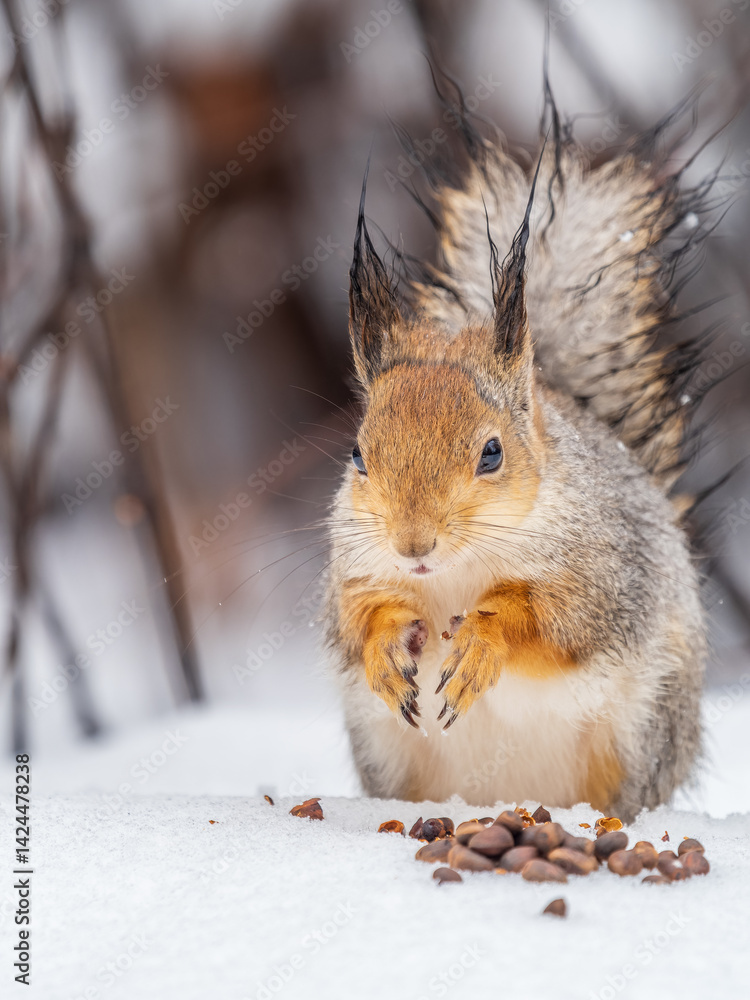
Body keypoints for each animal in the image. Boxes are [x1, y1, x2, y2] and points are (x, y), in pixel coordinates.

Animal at [323, 85, 714, 823]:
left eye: (492, 453)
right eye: (358, 455)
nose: (413, 545)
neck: (453, 575)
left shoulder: (604, 574)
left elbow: (556, 625)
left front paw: (484, 641)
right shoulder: (352, 566)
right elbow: (355, 621)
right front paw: (387, 646)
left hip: (641, 735)